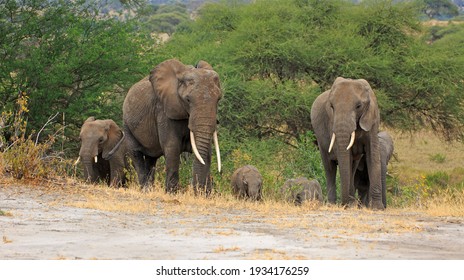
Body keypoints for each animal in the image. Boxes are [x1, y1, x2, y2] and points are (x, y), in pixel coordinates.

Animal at [123, 58, 223, 195]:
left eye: (218, 99)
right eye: (188, 100)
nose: (195, 190)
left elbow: (206, 151)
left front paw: (204, 195)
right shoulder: (163, 110)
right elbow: (172, 147)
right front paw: (172, 193)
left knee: (151, 159)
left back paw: (150, 189)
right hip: (127, 125)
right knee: (136, 155)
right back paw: (145, 190)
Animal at [310, 77, 382, 210]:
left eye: (358, 106)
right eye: (331, 106)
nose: (343, 204)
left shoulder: (373, 121)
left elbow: (373, 155)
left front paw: (377, 208)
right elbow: (345, 158)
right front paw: (348, 205)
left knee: (352, 167)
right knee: (329, 167)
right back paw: (333, 204)